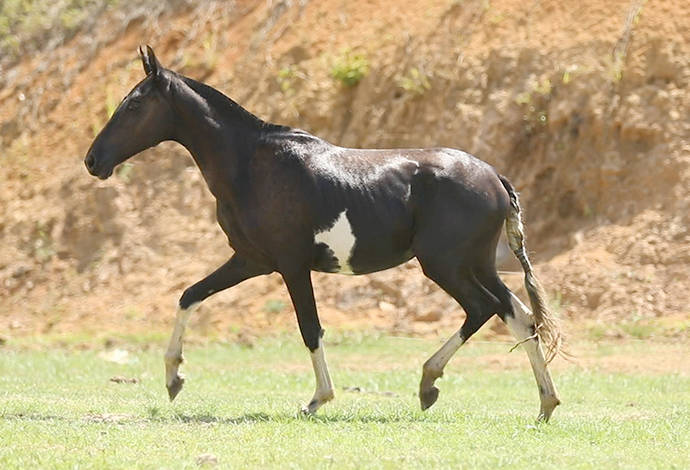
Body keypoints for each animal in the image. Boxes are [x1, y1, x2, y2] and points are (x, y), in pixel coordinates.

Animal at [84, 46, 560, 422]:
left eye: (133, 106)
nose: (93, 160)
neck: (251, 166)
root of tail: (494, 177)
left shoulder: (292, 267)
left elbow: (310, 329)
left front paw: (317, 400)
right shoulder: (250, 261)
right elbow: (189, 296)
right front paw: (173, 377)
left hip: (445, 265)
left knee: (484, 309)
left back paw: (430, 383)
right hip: (472, 264)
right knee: (518, 314)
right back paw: (544, 404)